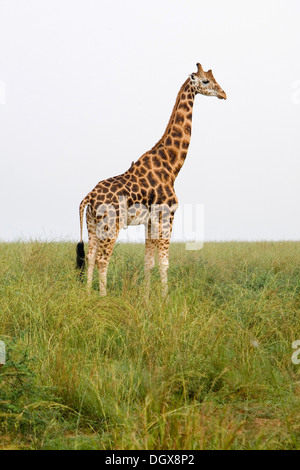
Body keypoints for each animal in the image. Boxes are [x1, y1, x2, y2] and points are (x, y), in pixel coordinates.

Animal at [76, 63, 226, 296]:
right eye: (206, 81)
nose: (223, 94)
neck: (171, 166)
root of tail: (88, 198)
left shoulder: (150, 220)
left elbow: (149, 261)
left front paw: (147, 298)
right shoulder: (167, 215)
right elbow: (164, 262)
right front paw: (165, 298)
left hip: (92, 224)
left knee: (91, 256)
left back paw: (88, 294)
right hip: (111, 225)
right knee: (102, 259)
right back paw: (103, 297)